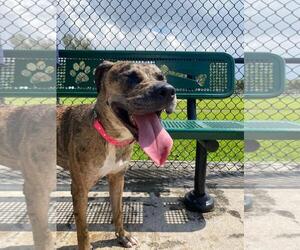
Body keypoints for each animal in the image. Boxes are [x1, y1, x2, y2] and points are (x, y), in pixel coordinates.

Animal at [0, 61, 176, 250]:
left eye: (161, 77)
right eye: (131, 77)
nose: (168, 90)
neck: (109, 136)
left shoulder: (117, 178)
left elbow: (118, 211)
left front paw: (122, 236)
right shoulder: (72, 188)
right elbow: (77, 227)